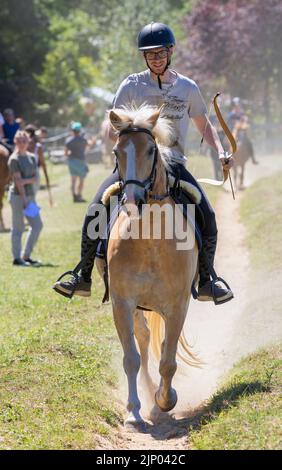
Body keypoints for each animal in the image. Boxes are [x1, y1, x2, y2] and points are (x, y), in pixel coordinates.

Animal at [96, 105, 199, 430]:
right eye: (117, 152)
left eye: (151, 150)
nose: (132, 201)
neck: (151, 241)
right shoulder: (122, 303)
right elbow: (131, 358)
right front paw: (134, 412)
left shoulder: (177, 305)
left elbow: (168, 360)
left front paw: (165, 402)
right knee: (142, 340)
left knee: (165, 345)